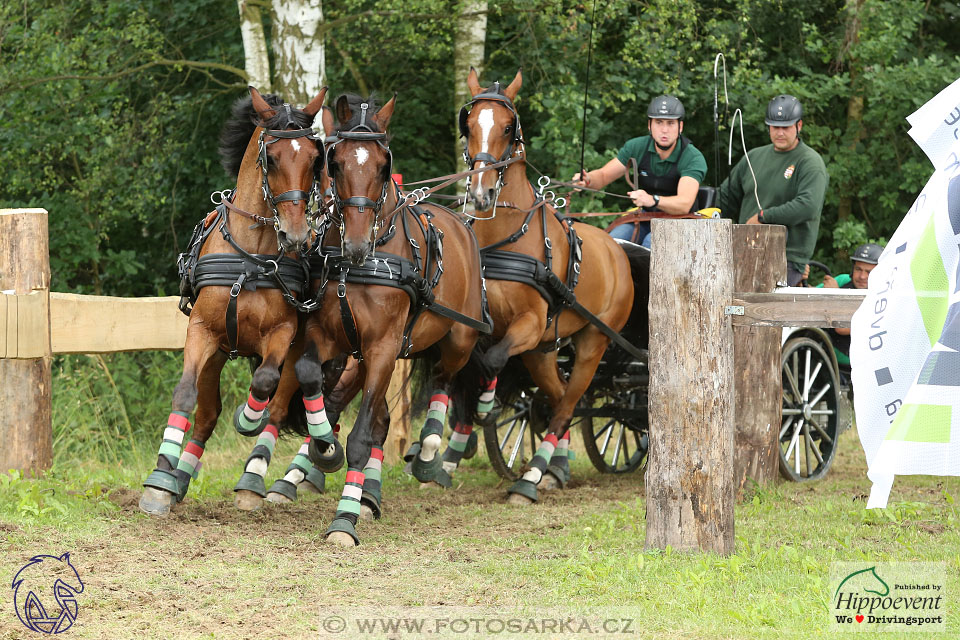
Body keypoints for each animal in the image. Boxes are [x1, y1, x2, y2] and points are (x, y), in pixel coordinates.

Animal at [138, 86, 326, 516]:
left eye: (315, 158)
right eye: (271, 157)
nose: (295, 235)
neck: (251, 258)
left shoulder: (284, 333)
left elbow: (265, 381)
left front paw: (248, 417)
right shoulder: (202, 332)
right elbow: (185, 393)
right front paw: (159, 481)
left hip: (298, 351)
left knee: (277, 405)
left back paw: (252, 480)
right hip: (219, 351)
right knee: (207, 415)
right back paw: (179, 477)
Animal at [294, 94, 492, 544]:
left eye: (384, 165)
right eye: (334, 163)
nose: (356, 243)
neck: (357, 267)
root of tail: (460, 223)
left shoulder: (383, 347)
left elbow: (363, 435)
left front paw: (343, 521)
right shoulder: (329, 337)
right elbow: (309, 375)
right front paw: (323, 448)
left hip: (458, 338)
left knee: (444, 381)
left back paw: (428, 453)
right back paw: (368, 494)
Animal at [450, 67, 636, 502]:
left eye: (508, 127)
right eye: (469, 124)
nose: (481, 193)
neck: (505, 239)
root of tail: (617, 249)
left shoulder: (530, 324)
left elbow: (493, 359)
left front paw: (484, 406)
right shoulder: (485, 323)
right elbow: (474, 361)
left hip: (591, 342)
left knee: (568, 403)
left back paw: (532, 476)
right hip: (544, 350)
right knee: (558, 396)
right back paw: (555, 469)